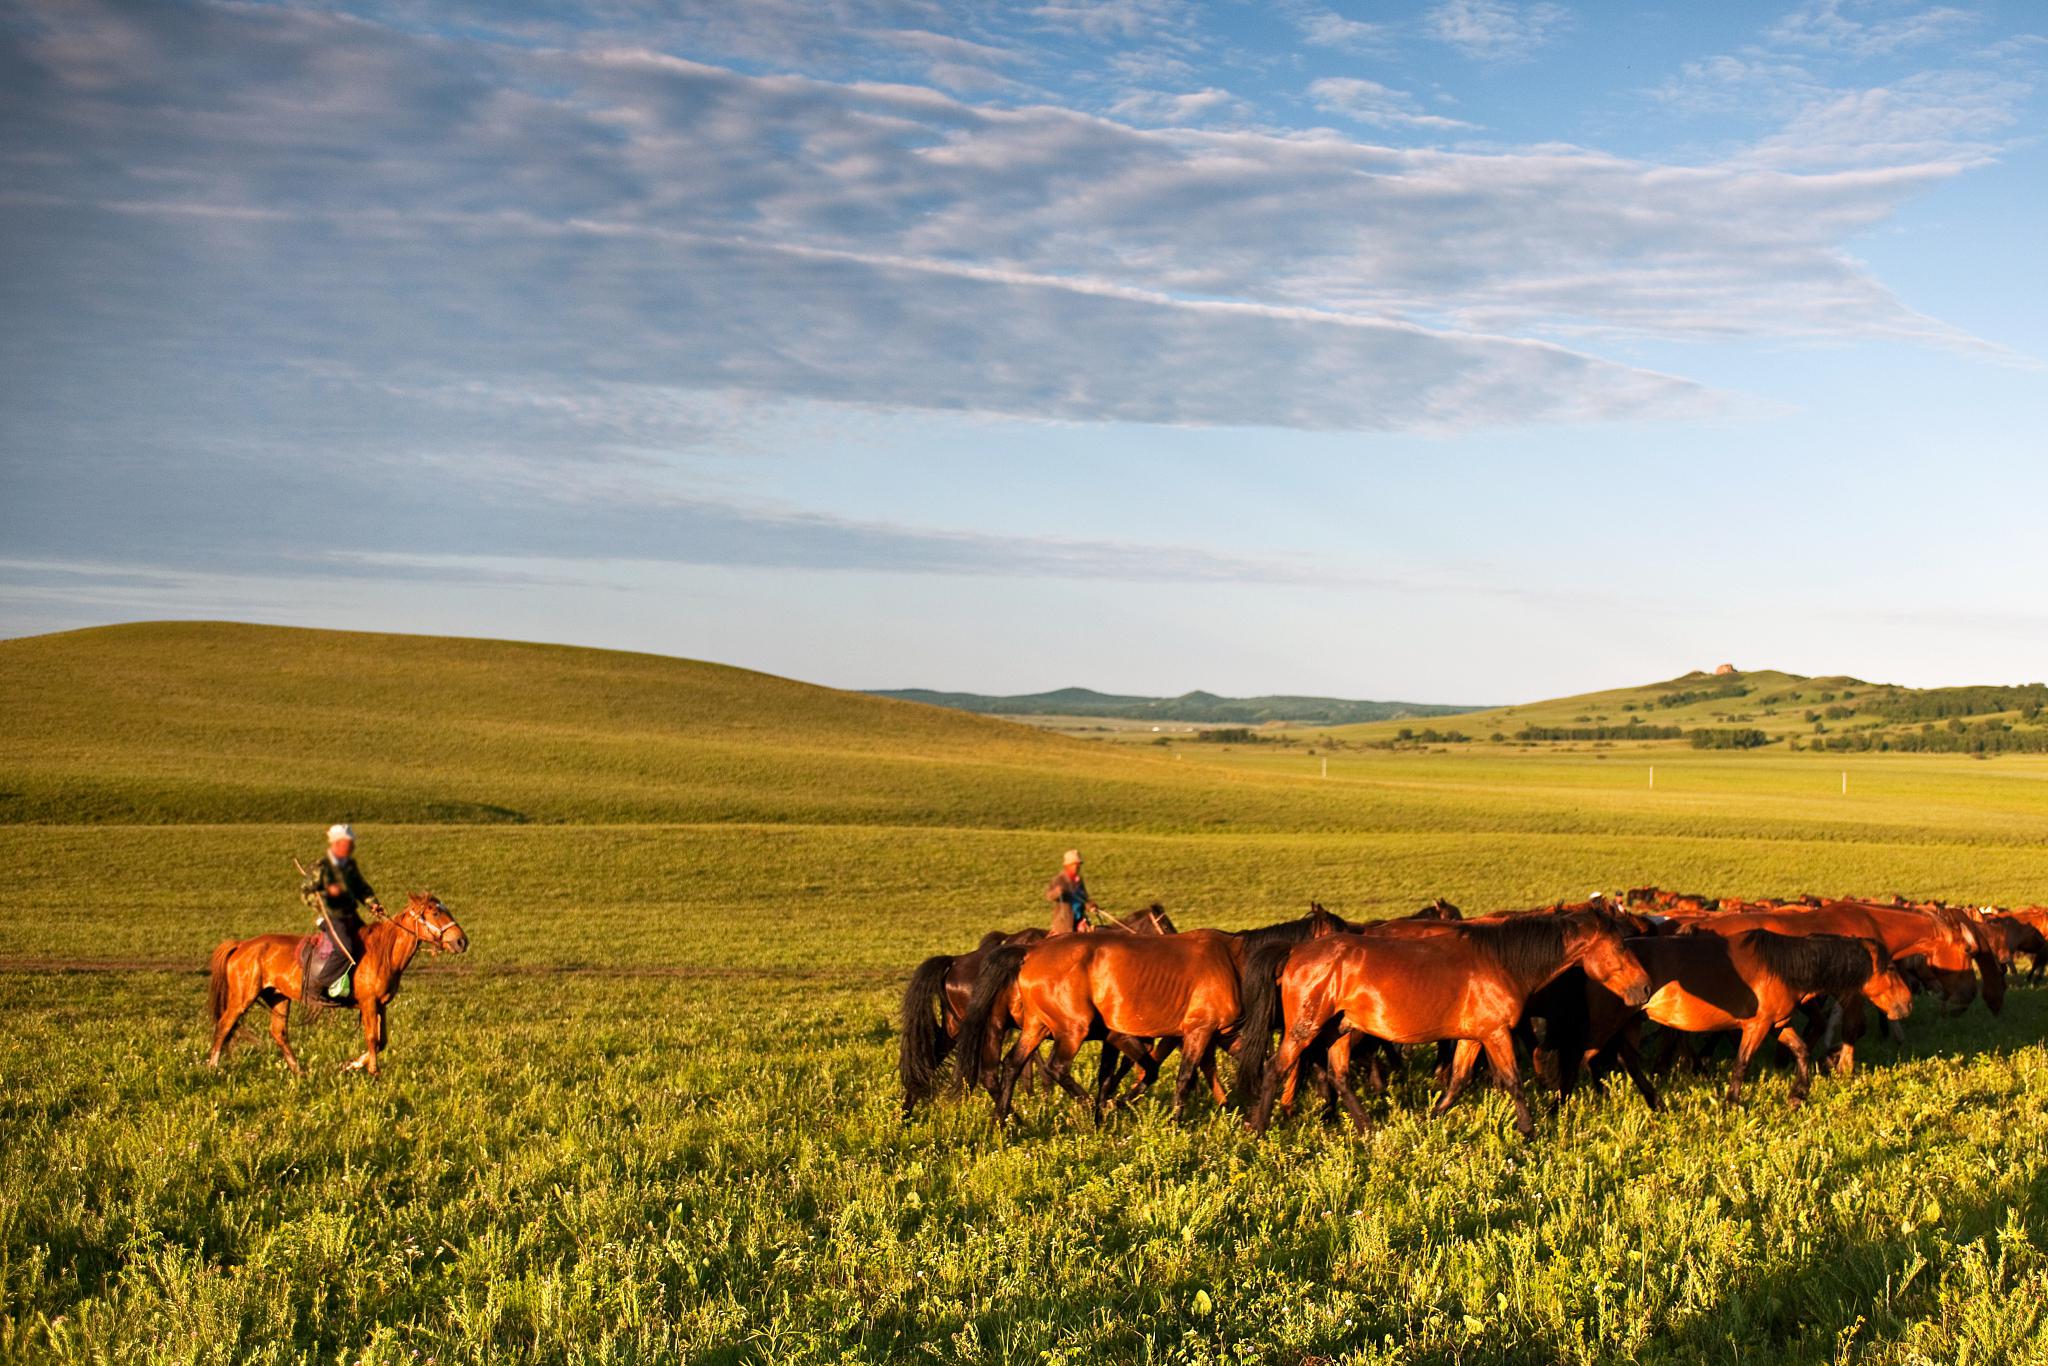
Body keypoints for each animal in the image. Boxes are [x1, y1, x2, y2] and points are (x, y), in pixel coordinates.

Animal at [202, 897, 468, 1081]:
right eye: (435, 912)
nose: (461, 941)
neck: (383, 952)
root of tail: (241, 945)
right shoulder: (368, 1003)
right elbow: (372, 1038)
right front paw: (373, 1072)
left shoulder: (381, 1004)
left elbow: (382, 1041)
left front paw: (351, 1065)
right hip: (242, 997)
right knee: (224, 1025)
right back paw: (212, 1067)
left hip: (278, 997)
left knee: (278, 1032)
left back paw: (300, 1072)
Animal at [1228, 917, 1646, 1146]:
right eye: (1619, 948)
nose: (1644, 988)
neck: (1501, 962)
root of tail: (1296, 952)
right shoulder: (1496, 1034)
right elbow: (1512, 1080)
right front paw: (1529, 1131)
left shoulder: (1473, 1037)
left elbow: (1458, 1081)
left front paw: (1430, 1119)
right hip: (1306, 1028)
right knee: (1276, 1068)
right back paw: (1258, 1127)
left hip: (1340, 1030)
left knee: (1339, 1076)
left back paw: (1368, 1127)